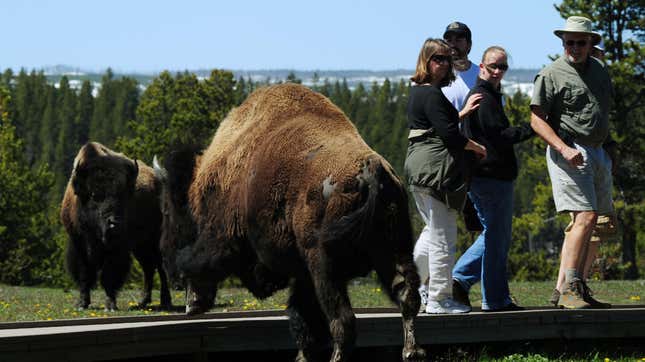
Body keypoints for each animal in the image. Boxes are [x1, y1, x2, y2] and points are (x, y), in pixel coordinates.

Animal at [59, 141, 171, 312]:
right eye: (94, 195)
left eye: (124, 195)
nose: (115, 223)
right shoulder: (78, 244)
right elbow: (84, 275)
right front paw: (82, 304)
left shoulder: (117, 249)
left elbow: (109, 276)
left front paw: (110, 305)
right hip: (140, 247)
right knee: (149, 268)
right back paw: (143, 301)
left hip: (154, 241)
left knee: (160, 267)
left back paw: (165, 301)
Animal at [155, 84, 426, 362]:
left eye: (169, 211)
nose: (167, 258)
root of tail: (370, 169)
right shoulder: (303, 275)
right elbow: (303, 317)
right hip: (394, 249)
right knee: (406, 297)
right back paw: (411, 352)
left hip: (325, 267)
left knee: (342, 321)